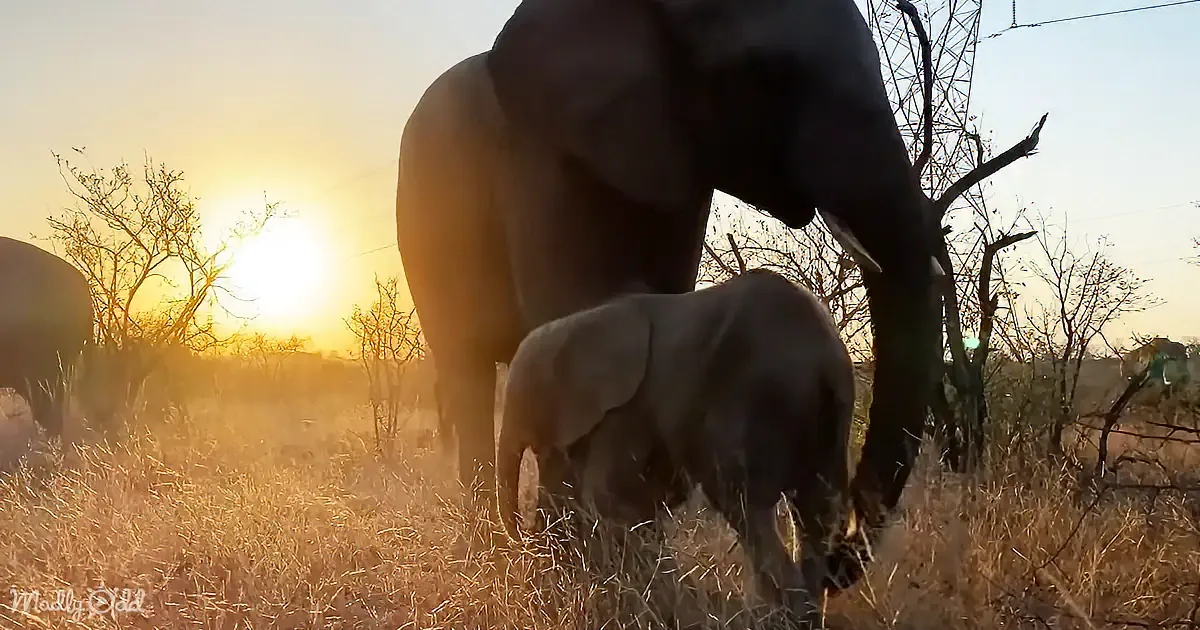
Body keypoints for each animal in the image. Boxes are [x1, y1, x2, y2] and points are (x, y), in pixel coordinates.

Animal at [394, 0, 945, 588]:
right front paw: (583, 570)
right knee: (466, 375)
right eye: (766, 76)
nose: (838, 557)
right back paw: (488, 552)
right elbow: (571, 305)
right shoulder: (539, 156)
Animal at [495, 269, 856, 625]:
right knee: (815, 514)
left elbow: (608, 498)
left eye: (524, 400)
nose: (523, 537)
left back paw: (778, 616)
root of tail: (824, 358)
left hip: (758, 400)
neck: (575, 323)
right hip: (829, 419)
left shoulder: (628, 408)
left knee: (747, 508)